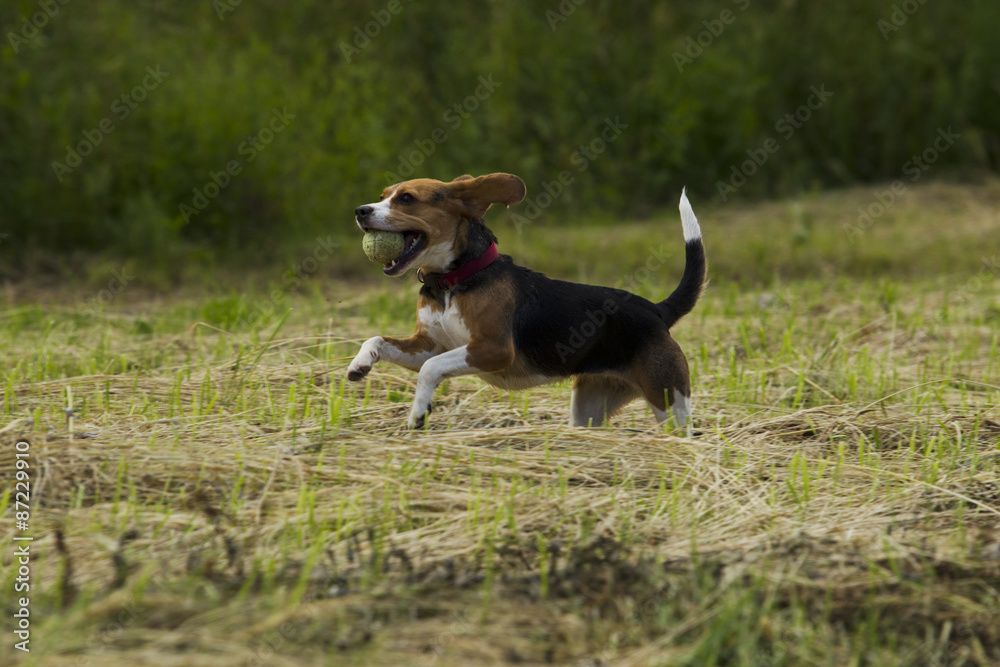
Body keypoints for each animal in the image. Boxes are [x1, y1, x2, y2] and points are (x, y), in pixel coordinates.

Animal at [348, 175, 708, 430]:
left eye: (407, 199)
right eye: (382, 196)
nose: (360, 211)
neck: (452, 281)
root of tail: (657, 310)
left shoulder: (492, 349)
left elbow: (430, 368)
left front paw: (419, 412)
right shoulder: (428, 344)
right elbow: (378, 340)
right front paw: (360, 364)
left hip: (670, 401)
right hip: (589, 406)